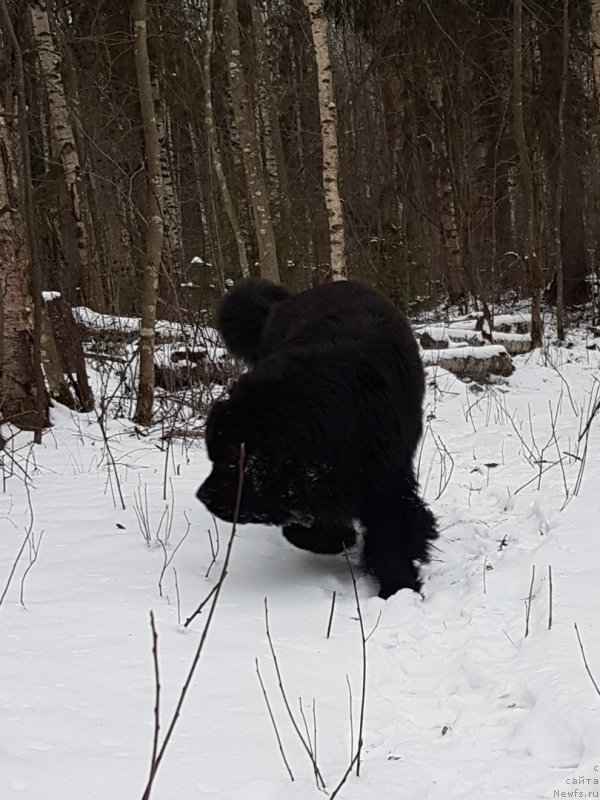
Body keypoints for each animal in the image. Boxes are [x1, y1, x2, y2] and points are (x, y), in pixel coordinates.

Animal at [197, 278, 436, 596]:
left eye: (230, 460)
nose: (203, 496)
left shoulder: (386, 475)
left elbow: (392, 533)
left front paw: (399, 587)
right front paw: (339, 538)